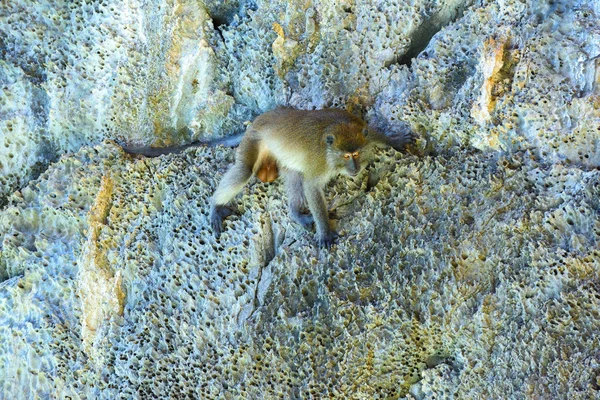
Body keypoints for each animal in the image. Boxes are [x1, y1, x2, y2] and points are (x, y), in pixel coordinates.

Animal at [209, 108, 414, 248]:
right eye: (346, 156)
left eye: (356, 154)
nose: (354, 168)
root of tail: (260, 118)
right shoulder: (320, 163)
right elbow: (311, 187)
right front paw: (325, 231)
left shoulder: (362, 130)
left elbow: (374, 135)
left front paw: (395, 140)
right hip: (253, 139)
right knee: (244, 170)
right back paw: (215, 206)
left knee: (294, 175)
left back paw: (295, 213)